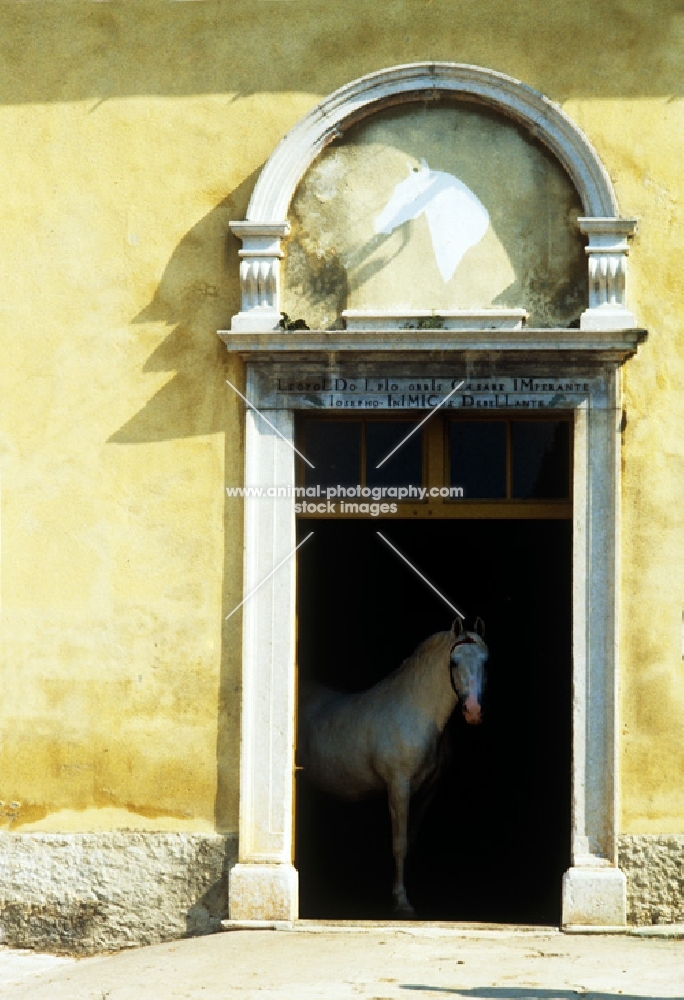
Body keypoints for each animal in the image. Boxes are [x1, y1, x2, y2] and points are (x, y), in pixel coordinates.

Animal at [298, 620, 486, 916]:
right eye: (454, 662)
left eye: (485, 661)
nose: (473, 710)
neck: (415, 712)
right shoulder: (399, 787)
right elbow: (399, 844)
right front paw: (401, 902)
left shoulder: (427, 792)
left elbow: (410, 840)